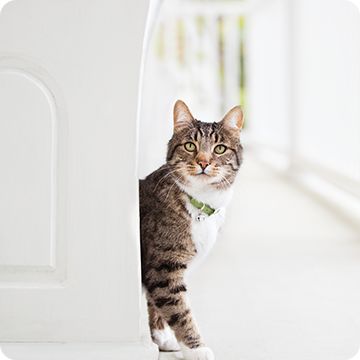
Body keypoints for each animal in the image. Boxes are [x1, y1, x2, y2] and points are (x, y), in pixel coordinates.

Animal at [139, 99, 243, 360]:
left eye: (220, 149)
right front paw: (196, 348)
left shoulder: (160, 269)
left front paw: (161, 337)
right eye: (189, 145)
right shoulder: (164, 265)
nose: (204, 162)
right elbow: (178, 308)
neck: (200, 202)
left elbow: (157, 303)